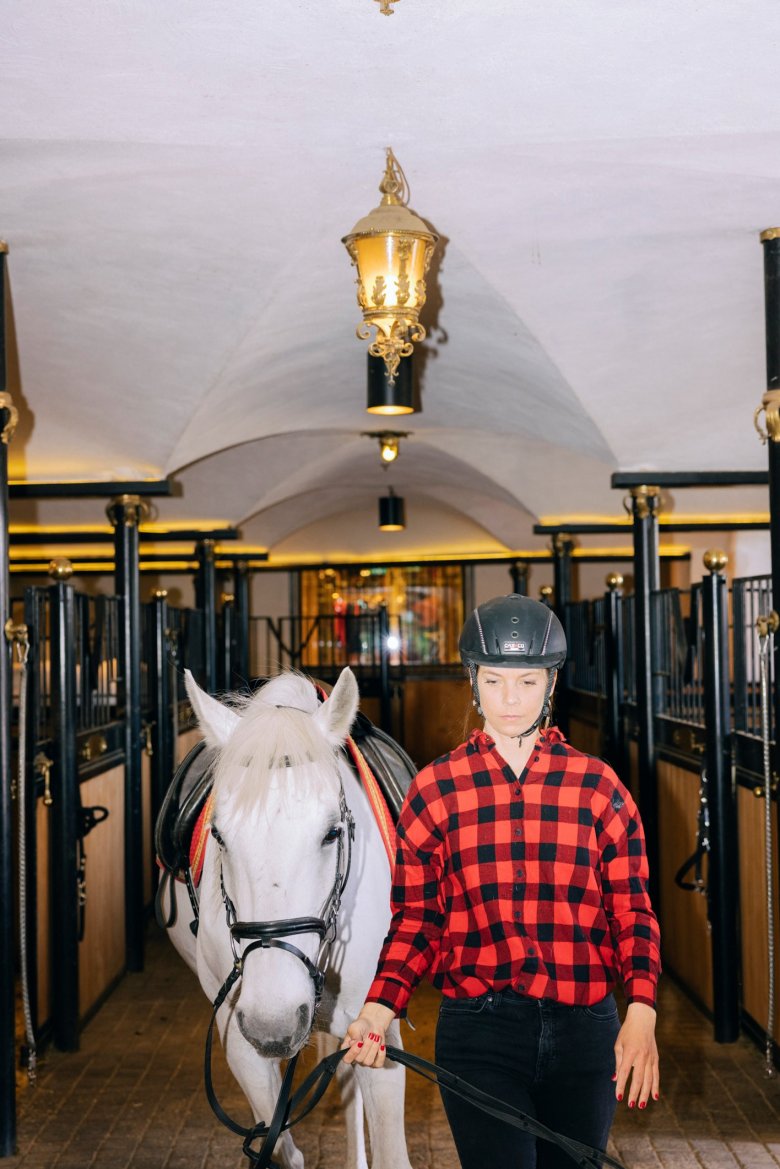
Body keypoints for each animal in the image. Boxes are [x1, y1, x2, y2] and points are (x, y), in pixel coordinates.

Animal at [166, 668, 413, 1169]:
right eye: (218, 835)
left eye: (332, 833)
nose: (273, 1025)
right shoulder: (240, 1044)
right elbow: (280, 1147)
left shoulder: (378, 1038)